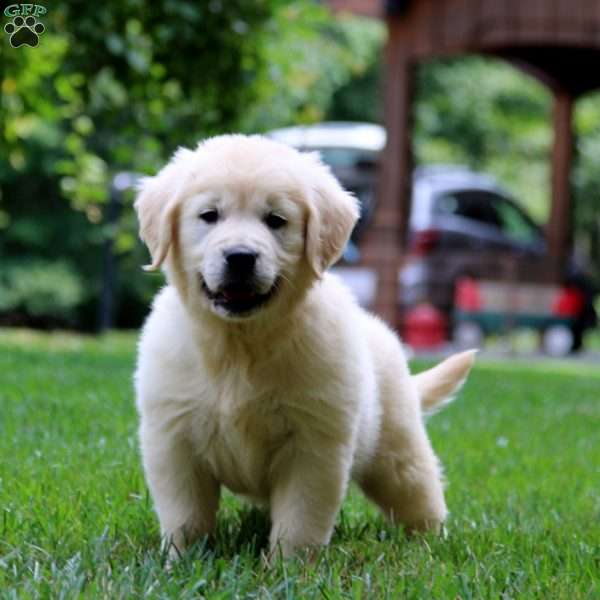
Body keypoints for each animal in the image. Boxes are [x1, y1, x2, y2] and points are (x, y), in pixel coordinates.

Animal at [134, 135, 476, 556]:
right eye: (209, 215)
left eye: (275, 220)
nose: (241, 257)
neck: (239, 347)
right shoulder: (174, 440)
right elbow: (186, 517)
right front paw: (183, 560)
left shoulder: (314, 446)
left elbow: (300, 519)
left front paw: (289, 564)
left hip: (397, 451)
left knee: (420, 493)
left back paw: (431, 544)